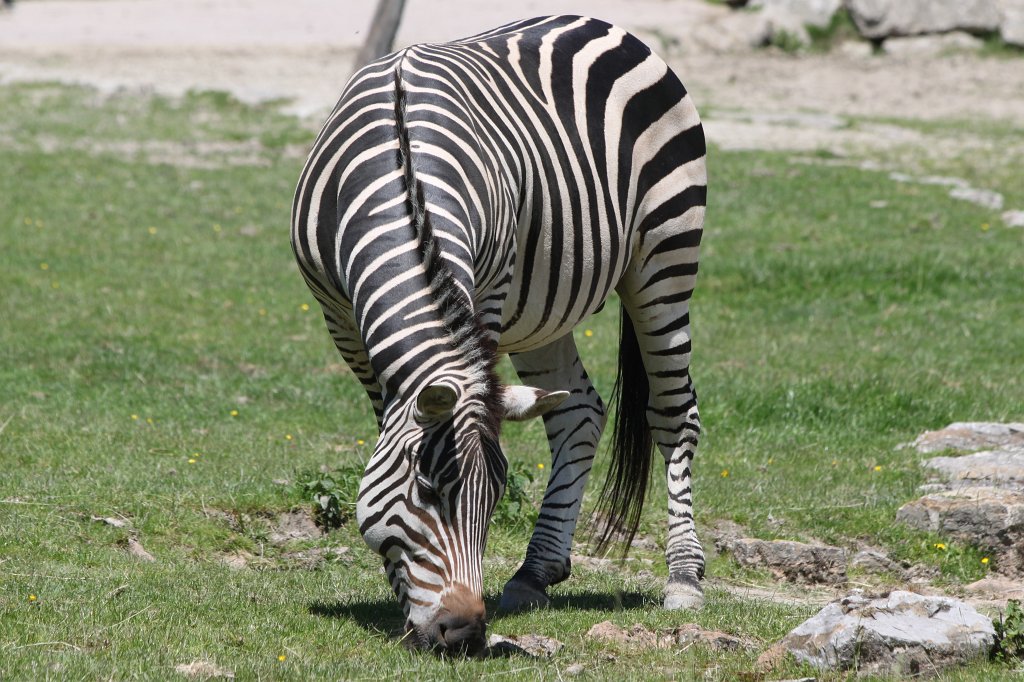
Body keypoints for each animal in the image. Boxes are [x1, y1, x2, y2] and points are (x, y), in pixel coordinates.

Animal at [291, 15, 706, 655]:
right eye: (427, 490)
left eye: (493, 500)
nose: (463, 633)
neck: (399, 169)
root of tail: (604, 24)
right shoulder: (338, 317)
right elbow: (386, 420)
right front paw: (398, 595)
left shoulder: (487, 292)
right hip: (542, 312)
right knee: (578, 411)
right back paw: (536, 572)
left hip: (665, 257)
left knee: (673, 412)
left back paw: (683, 577)